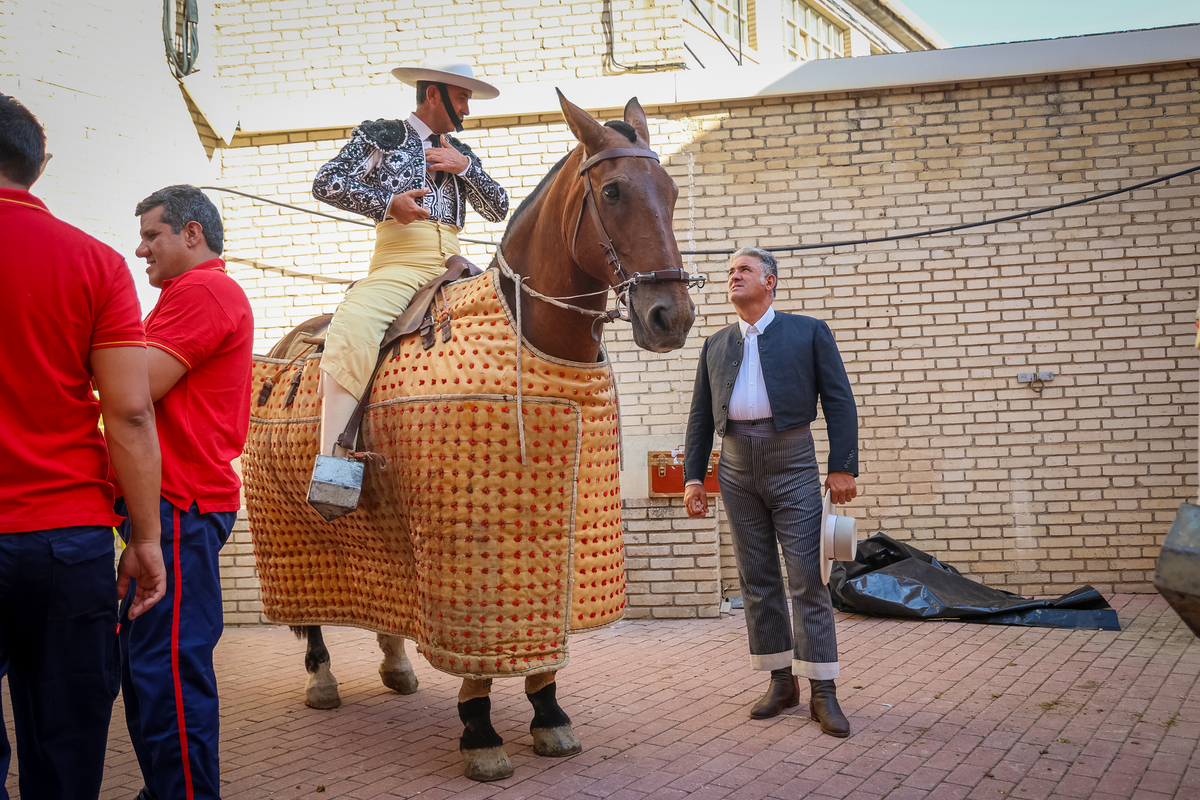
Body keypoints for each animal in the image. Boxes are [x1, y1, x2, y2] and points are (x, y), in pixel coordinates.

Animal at [241, 89, 696, 782]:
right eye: (613, 191)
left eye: (669, 191)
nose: (671, 317)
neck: (533, 332)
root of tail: (289, 341)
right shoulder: (466, 549)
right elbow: (476, 658)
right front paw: (480, 733)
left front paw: (549, 715)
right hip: (288, 518)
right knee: (310, 610)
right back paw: (322, 678)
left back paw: (397, 665)